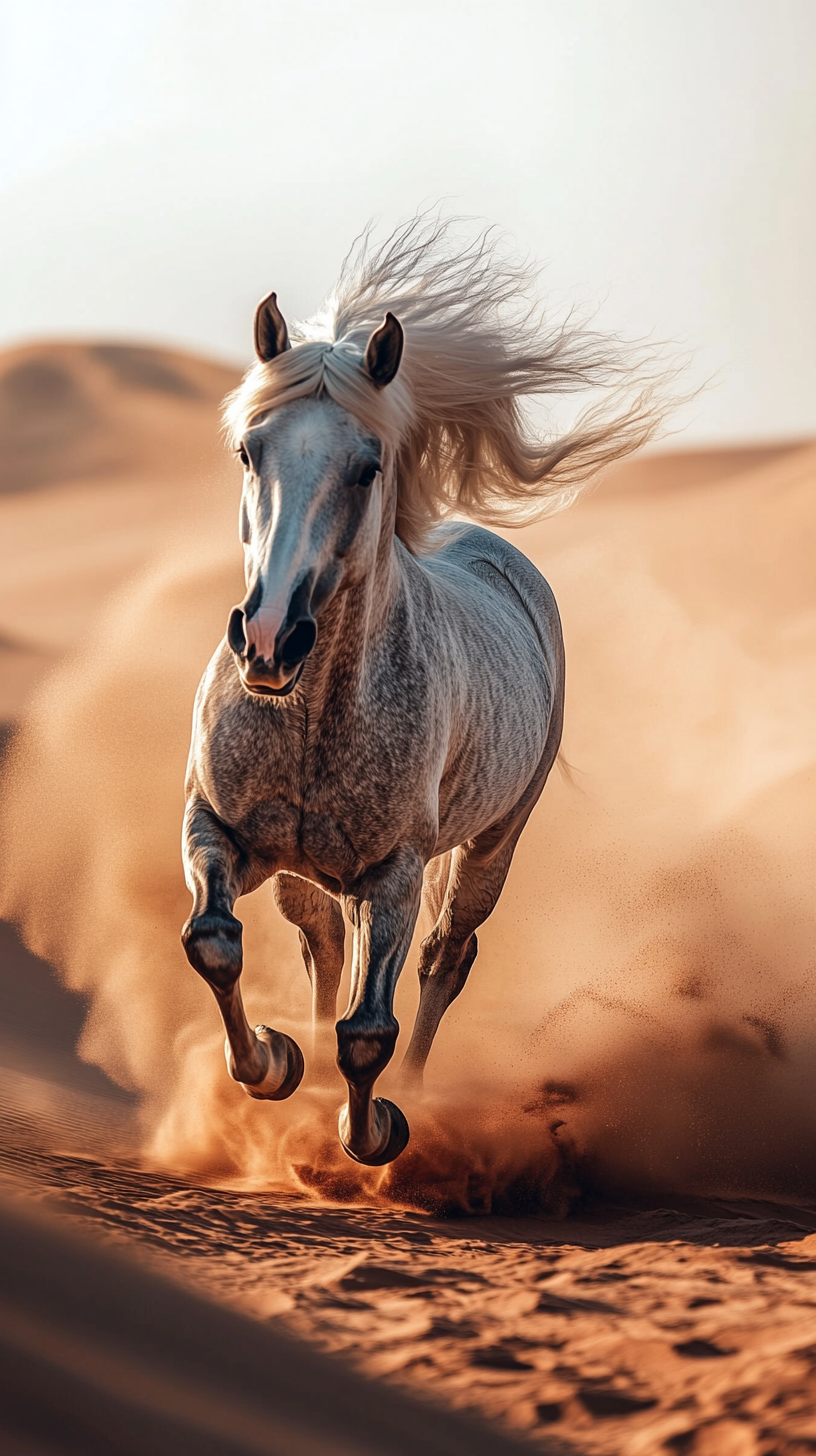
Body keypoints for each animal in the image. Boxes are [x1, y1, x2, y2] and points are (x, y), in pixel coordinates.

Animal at [179, 215, 664, 1164]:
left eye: (369, 467)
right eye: (249, 450)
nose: (269, 640)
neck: (310, 713)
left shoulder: (395, 872)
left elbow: (370, 1030)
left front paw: (375, 1130)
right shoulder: (217, 826)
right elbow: (213, 942)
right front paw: (275, 1063)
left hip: (492, 844)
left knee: (444, 957)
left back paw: (414, 1098)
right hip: (306, 870)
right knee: (323, 942)